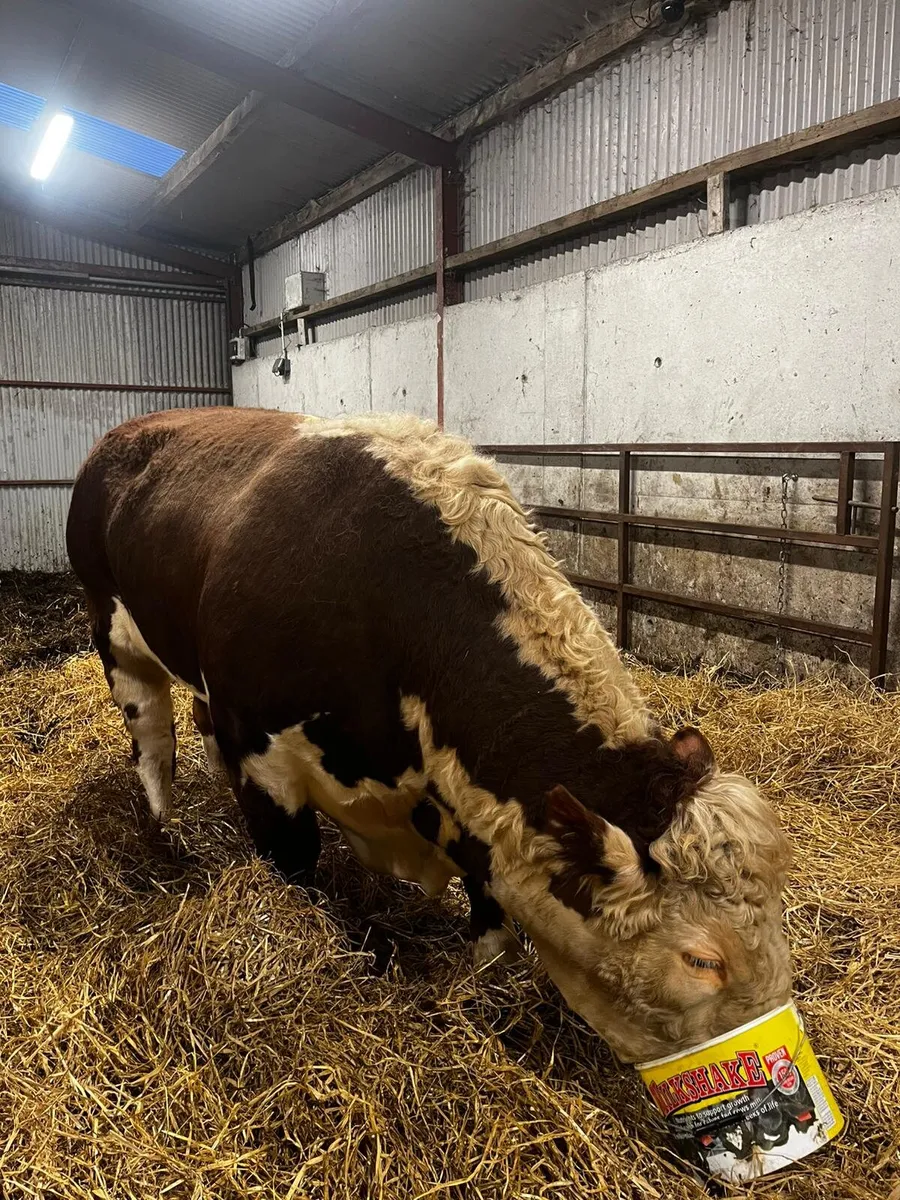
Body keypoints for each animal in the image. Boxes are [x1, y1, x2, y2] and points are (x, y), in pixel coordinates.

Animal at [65, 407, 792, 1065]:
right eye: (702, 960)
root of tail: (126, 432)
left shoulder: (476, 811)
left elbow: (493, 923)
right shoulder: (263, 756)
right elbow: (294, 869)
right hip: (115, 636)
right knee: (153, 741)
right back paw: (166, 832)